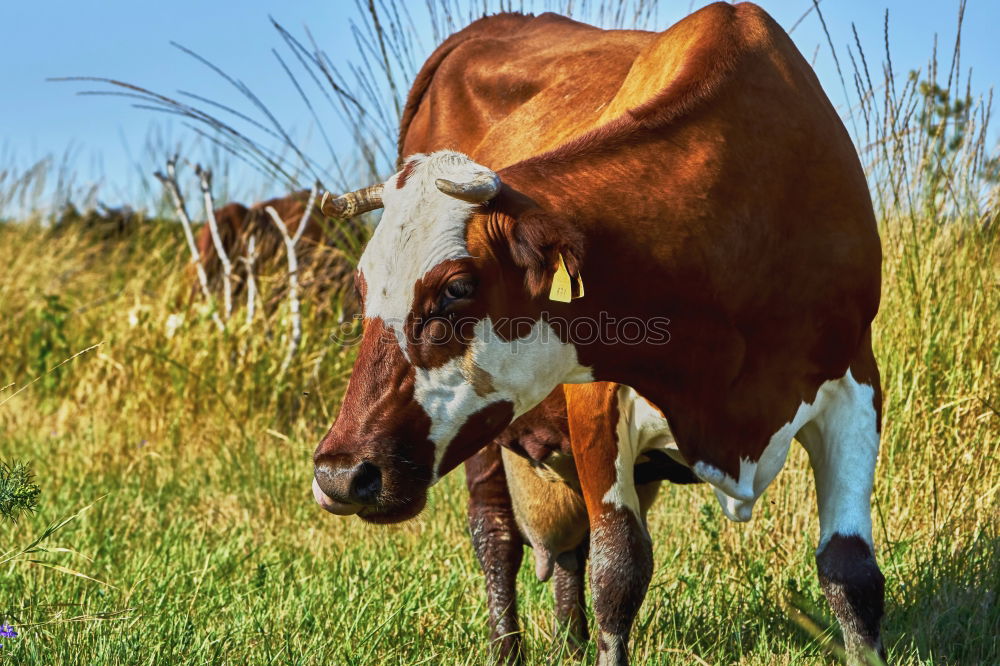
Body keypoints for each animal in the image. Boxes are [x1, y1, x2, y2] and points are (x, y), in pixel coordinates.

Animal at [310, 2, 884, 660]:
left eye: (456, 288)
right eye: (363, 289)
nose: (339, 475)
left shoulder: (856, 380)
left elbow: (851, 573)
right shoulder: (596, 396)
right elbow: (620, 569)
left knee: (567, 548)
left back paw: (572, 643)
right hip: (485, 445)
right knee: (497, 534)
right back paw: (508, 649)